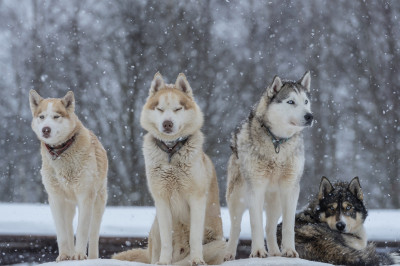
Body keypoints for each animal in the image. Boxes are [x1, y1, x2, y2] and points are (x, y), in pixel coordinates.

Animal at [28, 90, 108, 260]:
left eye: (56, 116)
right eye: (42, 116)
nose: (45, 129)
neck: (61, 152)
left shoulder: (85, 197)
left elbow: (83, 230)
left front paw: (79, 255)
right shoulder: (55, 198)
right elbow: (62, 233)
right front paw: (64, 255)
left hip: (98, 203)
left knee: (93, 234)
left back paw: (91, 257)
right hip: (69, 205)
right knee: (69, 229)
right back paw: (69, 254)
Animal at [112, 72, 225, 264]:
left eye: (178, 109)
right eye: (160, 109)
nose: (167, 123)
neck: (171, 152)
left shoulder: (196, 199)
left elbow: (195, 237)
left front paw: (197, 260)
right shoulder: (162, 200)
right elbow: (166, 240)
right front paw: (163, 262)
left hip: (220, 242)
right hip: (156, 223)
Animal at [225, 71, 312, 260]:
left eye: (306, 102)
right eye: (291, 102)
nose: (310, 116)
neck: (277, 141)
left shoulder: (291, 188)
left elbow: (288, 226)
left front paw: (289, 251)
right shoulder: (256, 188)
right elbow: (255, 223)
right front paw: (258, 252)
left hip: (276, 201)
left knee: (270, 227)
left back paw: (276, 252)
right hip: (237, 199)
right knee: (236, 227)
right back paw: (229, 254)